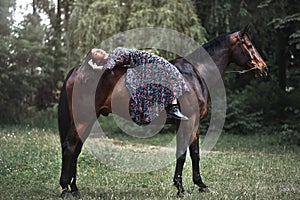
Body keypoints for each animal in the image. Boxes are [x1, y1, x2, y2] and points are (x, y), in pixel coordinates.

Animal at [58, 25, 268, 198]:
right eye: (249, 46)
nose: (263, 68)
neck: (196, 74)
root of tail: (78, 70)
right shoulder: (187, 122)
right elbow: (183, 154)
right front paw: (181, 189)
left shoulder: (194, 124)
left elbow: (194, 153)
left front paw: (200, 185)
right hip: (83, 119)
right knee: (69, 147)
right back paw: (65, 188)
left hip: (87, 119)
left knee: (76, 149)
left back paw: (74, 188)